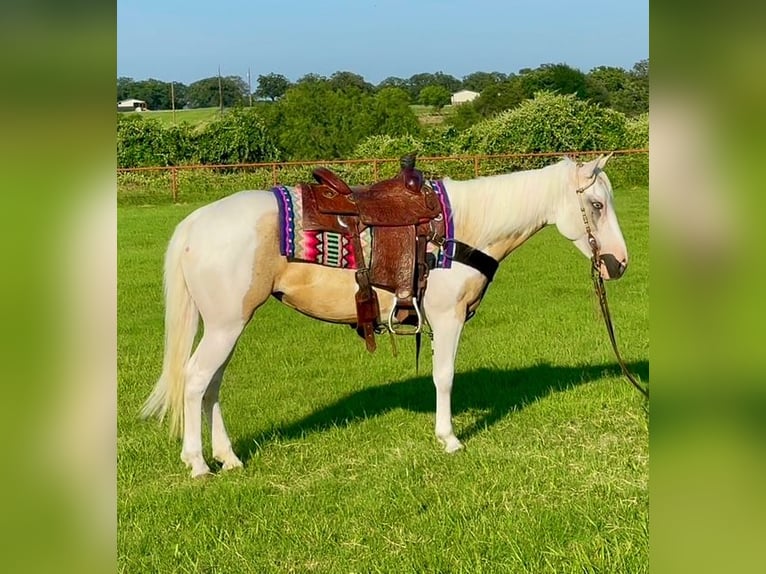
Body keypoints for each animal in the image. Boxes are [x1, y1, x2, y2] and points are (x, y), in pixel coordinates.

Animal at [141, 154, 628, 478]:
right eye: (597, 206)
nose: (619, 264)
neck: (461, 229)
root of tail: (195, 224)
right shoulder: (447, 318)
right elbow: (444, 376)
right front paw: (449, 438)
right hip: (225, 327)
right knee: (197, 381)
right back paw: (198, 464)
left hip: (227, 326)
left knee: (211, 386)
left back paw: (229, 457)